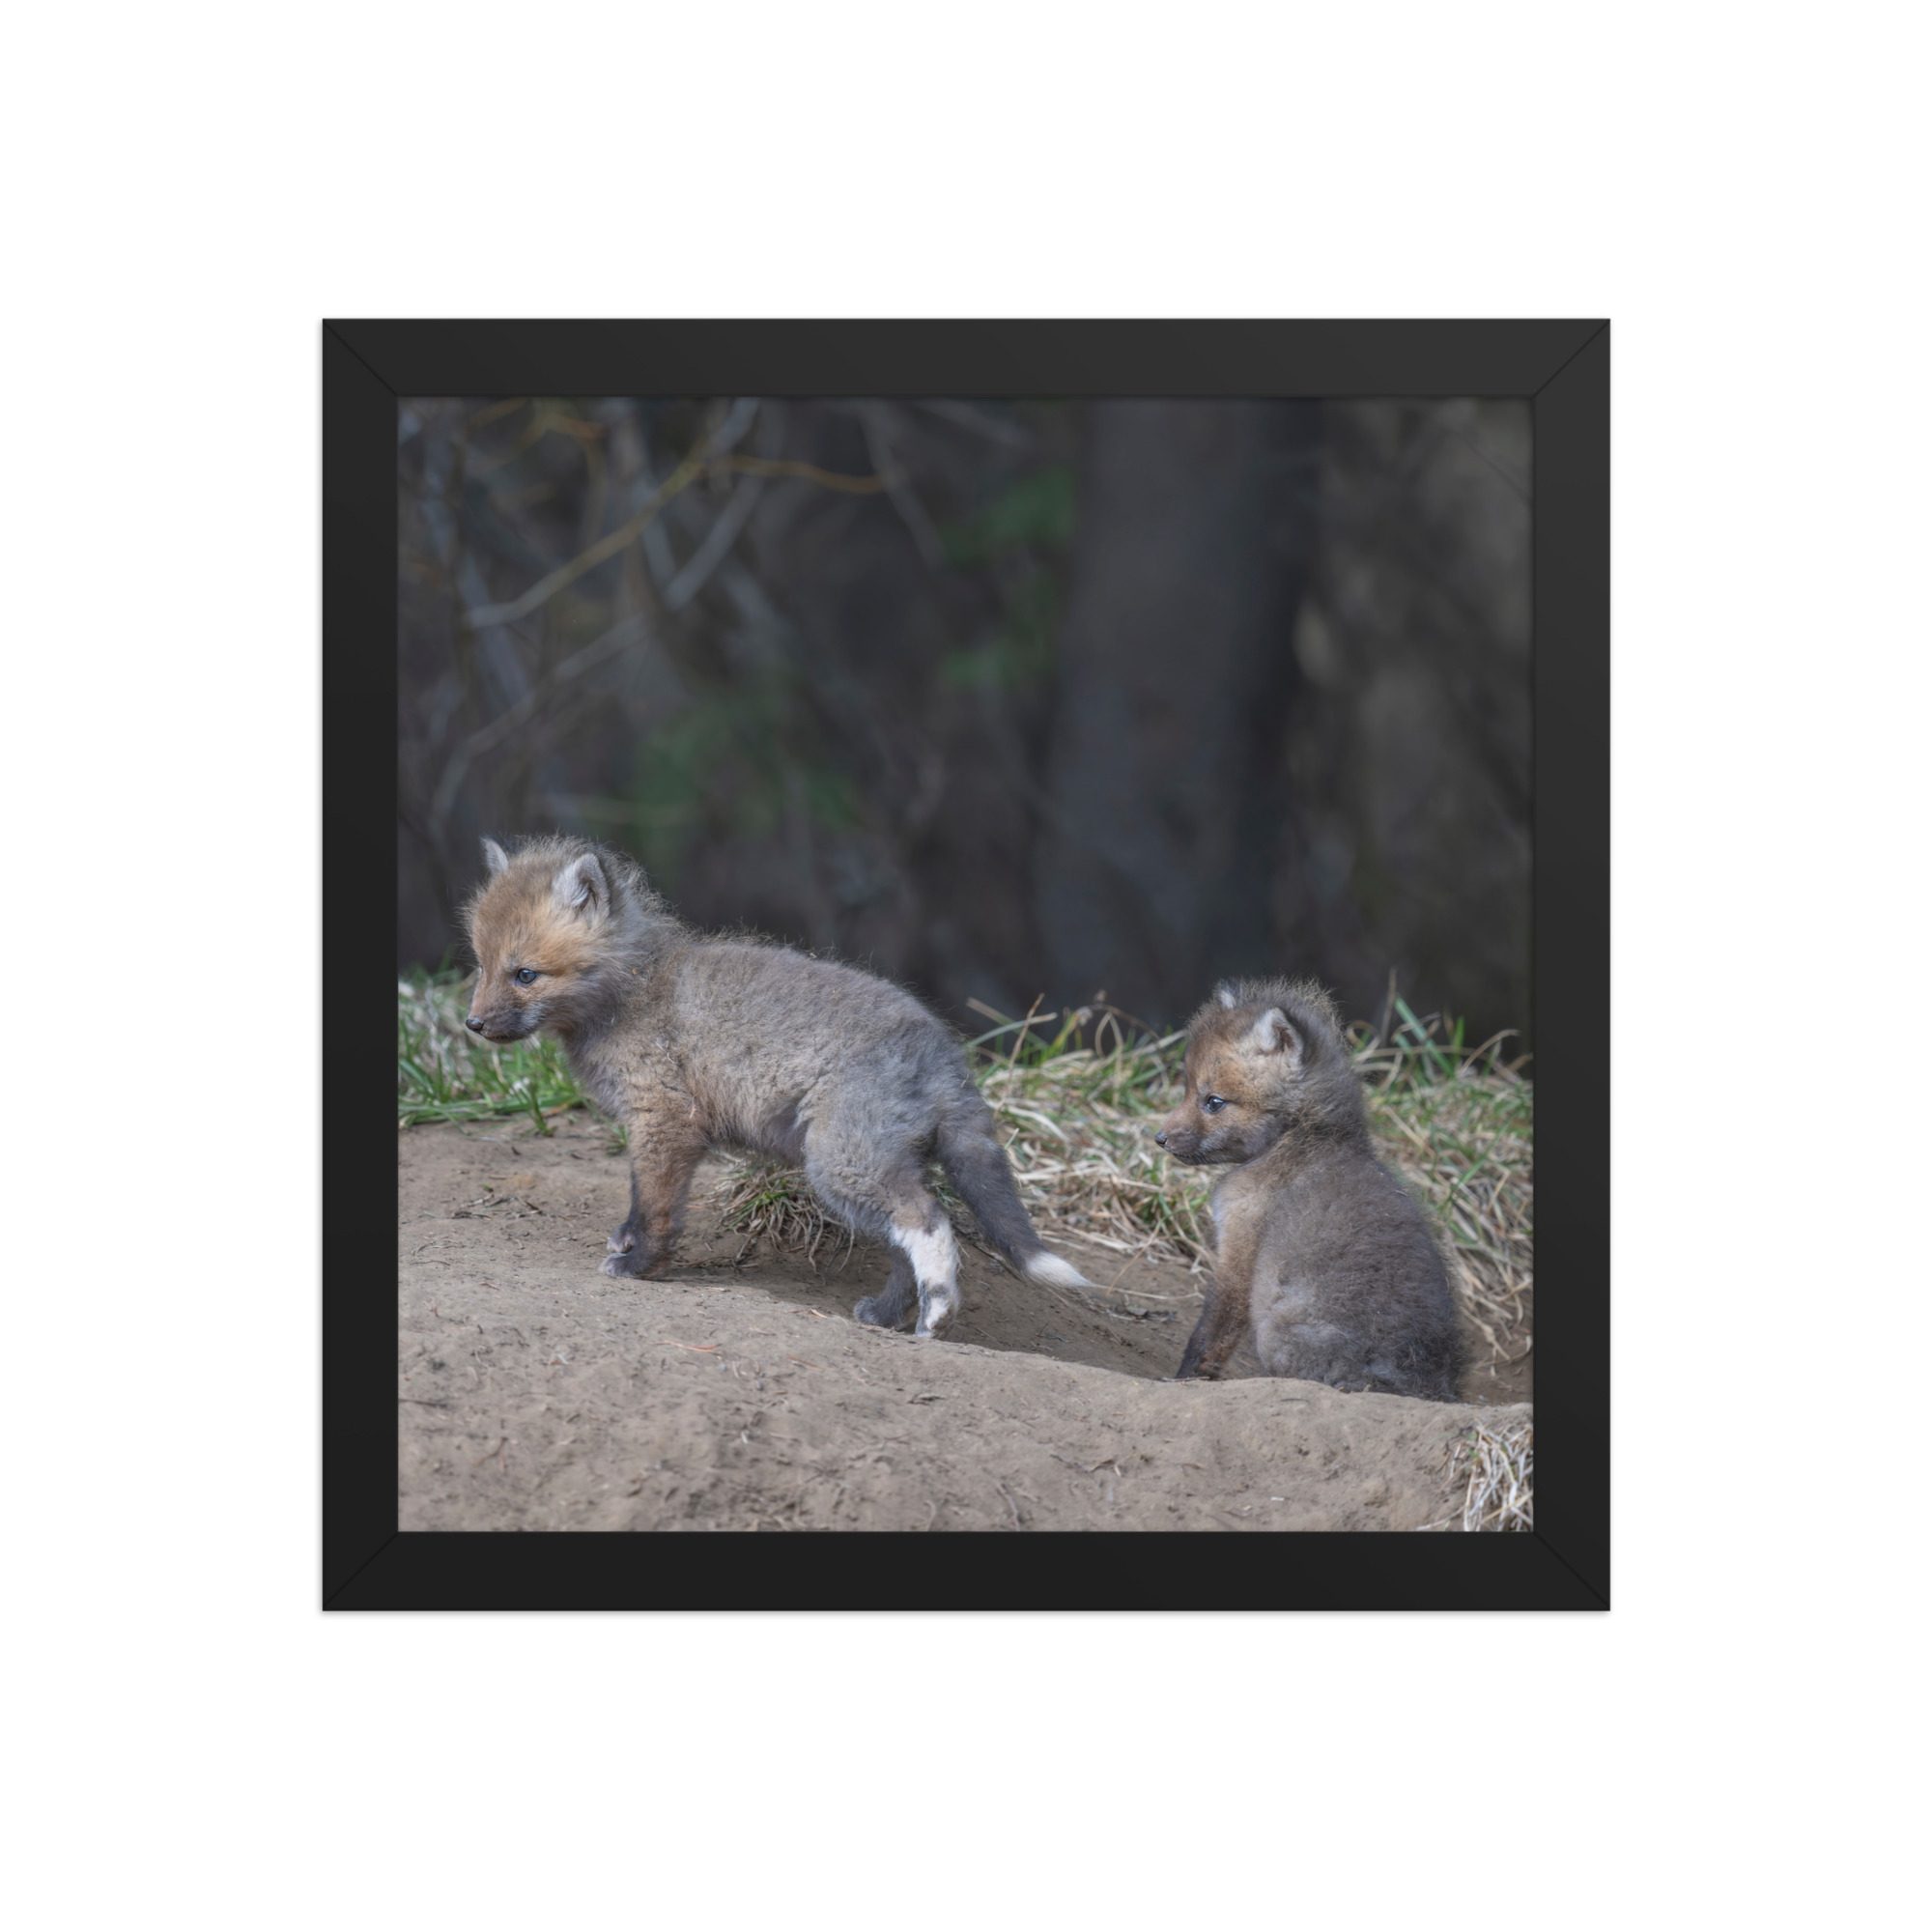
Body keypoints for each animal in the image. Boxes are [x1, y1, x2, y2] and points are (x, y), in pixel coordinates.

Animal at [462, 834, 1092, 1337]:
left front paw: (641, 1265)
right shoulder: (660, 1127)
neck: (632, 991)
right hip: (868, 1172)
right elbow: (642, 1199)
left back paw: (938, 1313)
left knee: (929, 1220)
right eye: (481, 966)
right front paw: (629, 1243)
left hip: (841, 1165)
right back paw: (888, 1316)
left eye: (525, 974)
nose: (472, 1025)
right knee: (902, 1246)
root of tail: (945, 1053)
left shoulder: (665, 1119)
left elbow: (656, 1205)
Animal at [1156, 977, 1463, 1400]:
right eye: (1187, 1089)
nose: (1159, 1138)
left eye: (1214, 1102)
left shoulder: (1240, 1249)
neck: (1301, 1138)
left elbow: (1210, 1334)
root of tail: (1421, 1384)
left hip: (1275, 1333)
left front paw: (1183, 1380)